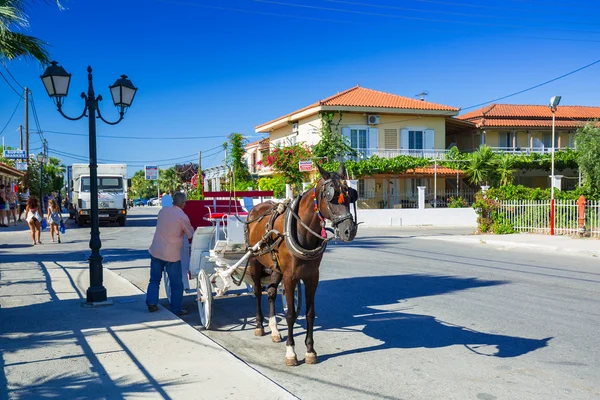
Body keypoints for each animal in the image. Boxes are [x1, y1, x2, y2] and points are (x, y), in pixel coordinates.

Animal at [246, 162, 358, 366]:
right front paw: (291, 352)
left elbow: (310, 313)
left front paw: (310, 350)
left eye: (349, 195)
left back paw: (274, 330)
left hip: (276, 269)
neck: (301, 231)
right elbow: (291, 314)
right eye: (330, 196)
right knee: (258, 292)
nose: (349, 231)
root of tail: (257, 207)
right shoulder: (290, 278)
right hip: (254, 261)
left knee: (271, 293)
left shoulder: (312, 277)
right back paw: (259, 325)